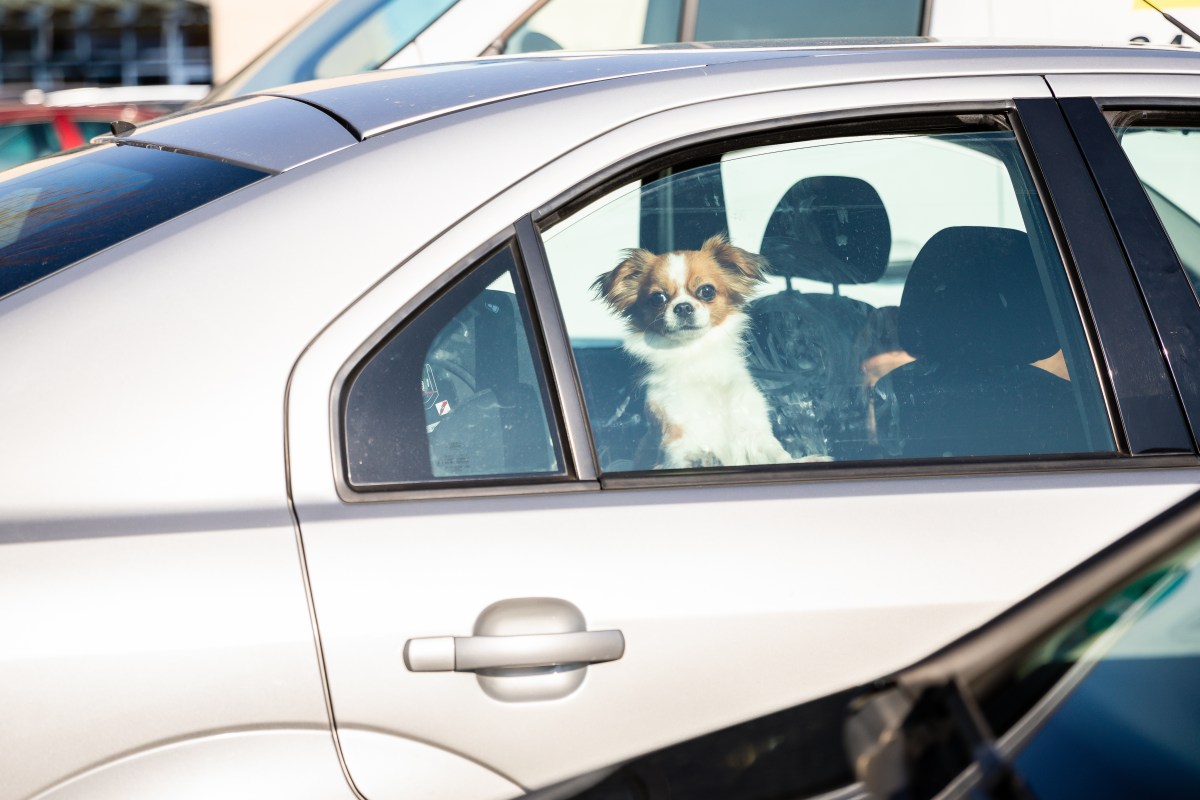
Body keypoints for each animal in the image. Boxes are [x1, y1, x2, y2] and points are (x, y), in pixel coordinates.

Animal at [595, 231, 811, 470]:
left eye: (706, 291)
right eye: (658, 298)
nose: (683, 307)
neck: (696, 354)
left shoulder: (751, 427)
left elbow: (776, 454)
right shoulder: (675, 429)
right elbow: (684, 452)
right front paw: (701, 459)